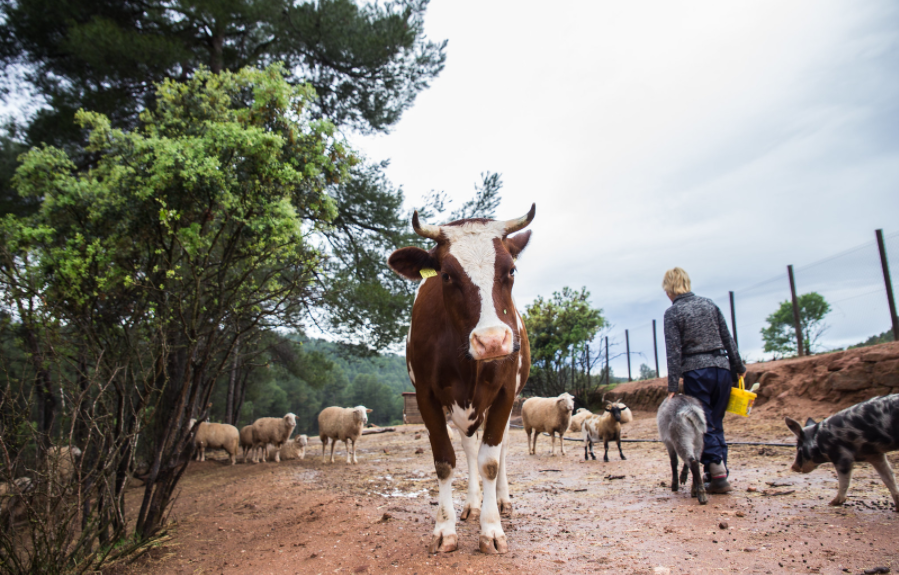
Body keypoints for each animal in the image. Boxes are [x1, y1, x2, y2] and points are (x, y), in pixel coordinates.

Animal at [387, 205, 535, 555]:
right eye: (446, 275)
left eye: (511, 270)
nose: (492, 341)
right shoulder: (426, 396)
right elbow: (445, 461)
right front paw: (445, 528)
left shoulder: (506, 393)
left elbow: (490, 462)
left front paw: (492, 529)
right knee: (468, 448)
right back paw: (472, 503)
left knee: (499, 449)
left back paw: (502, 500)